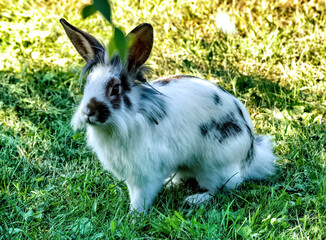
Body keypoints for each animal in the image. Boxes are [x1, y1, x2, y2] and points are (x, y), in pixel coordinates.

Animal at [60, 19, 276, 214]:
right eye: (88, 83)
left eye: (115, 89)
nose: (88, 112)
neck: (126, 118)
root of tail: (251, 155)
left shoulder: (143, 176)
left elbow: (140, 198)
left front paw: (132, 217)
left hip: (215, 166)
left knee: (226, 187)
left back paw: (195, 199)